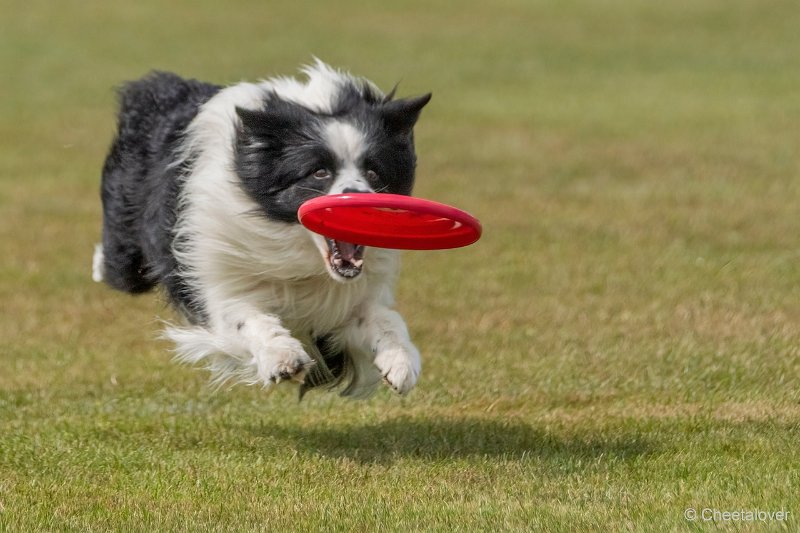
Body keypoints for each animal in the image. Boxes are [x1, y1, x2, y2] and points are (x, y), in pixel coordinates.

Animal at [95, 61, 432, 394]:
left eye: (374, 173)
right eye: (319, 172)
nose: (360, 202)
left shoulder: (347, 302)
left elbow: (386, 319)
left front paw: (401, 362)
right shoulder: (219, 272)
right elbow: (244, 317)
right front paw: (282, 357)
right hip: (128, 256)